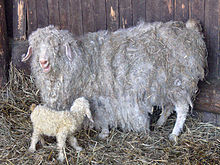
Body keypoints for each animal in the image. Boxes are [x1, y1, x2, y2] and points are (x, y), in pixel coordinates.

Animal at [21, 19, 207, 141]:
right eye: (35, 47)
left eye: (57, 47)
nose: (43, 62)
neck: (83, 60)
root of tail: (190, 31)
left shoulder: (101, 98)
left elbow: (103, 115)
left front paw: (104, 133)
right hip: (165, 84)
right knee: (168, 105)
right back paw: (160, 123)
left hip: (179, 83)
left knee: (182, 108)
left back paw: (174, 134)